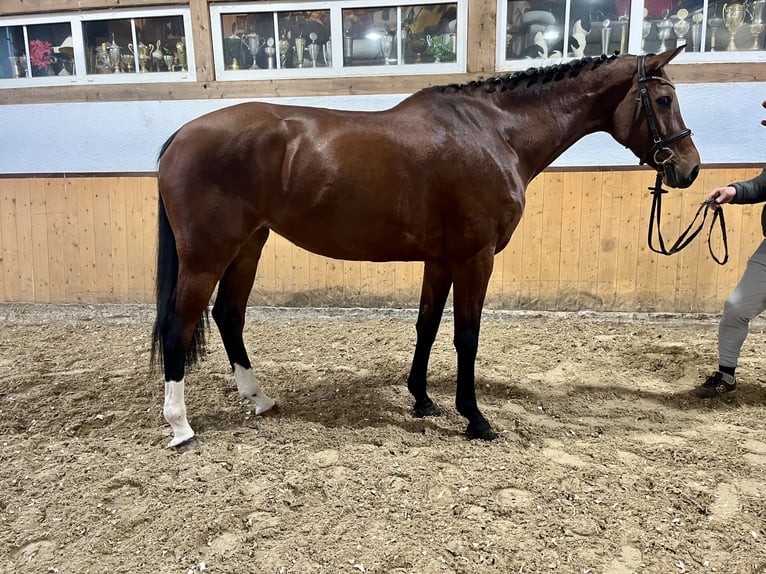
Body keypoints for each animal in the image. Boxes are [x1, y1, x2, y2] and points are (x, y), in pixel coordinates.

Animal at [152, 46, 704, 450]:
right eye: (662, 101)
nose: (690, 168)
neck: (496, 132)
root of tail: (181, 134)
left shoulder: (440, 260)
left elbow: (428, 326)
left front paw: (422, 399)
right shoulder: (475, 257)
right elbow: (466, 337)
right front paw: (475, 417)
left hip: (248, 245)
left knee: (229, 315)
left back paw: (260, 399)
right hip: (207, 255)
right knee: (181, 323)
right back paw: (180, 425)